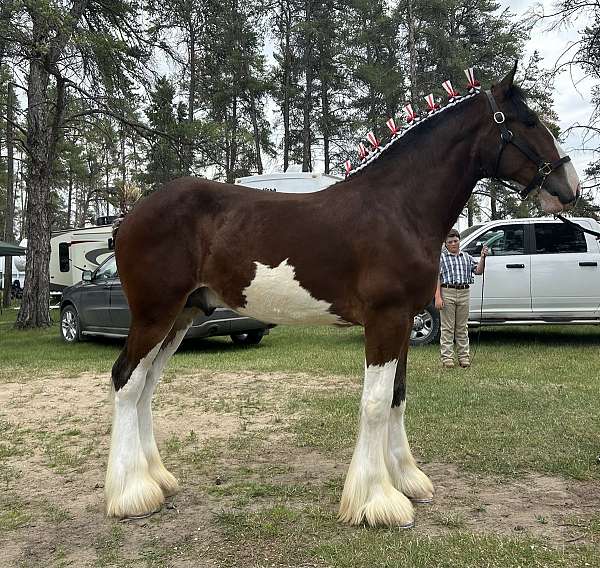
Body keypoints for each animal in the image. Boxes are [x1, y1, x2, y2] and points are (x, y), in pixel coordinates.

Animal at [105, 67, 580, 528]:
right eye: (528, 122)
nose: (569, 187)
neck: (398, 209)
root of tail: (128, 217)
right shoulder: (386, 319)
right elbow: (375, 403)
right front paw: (378, 502)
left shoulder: (404, 321)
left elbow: (397, 396)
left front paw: (406, 480)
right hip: (154, 314)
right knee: (127, 381)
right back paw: (131, 495)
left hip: (180, 317)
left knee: (146, 385)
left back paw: (158, 480)